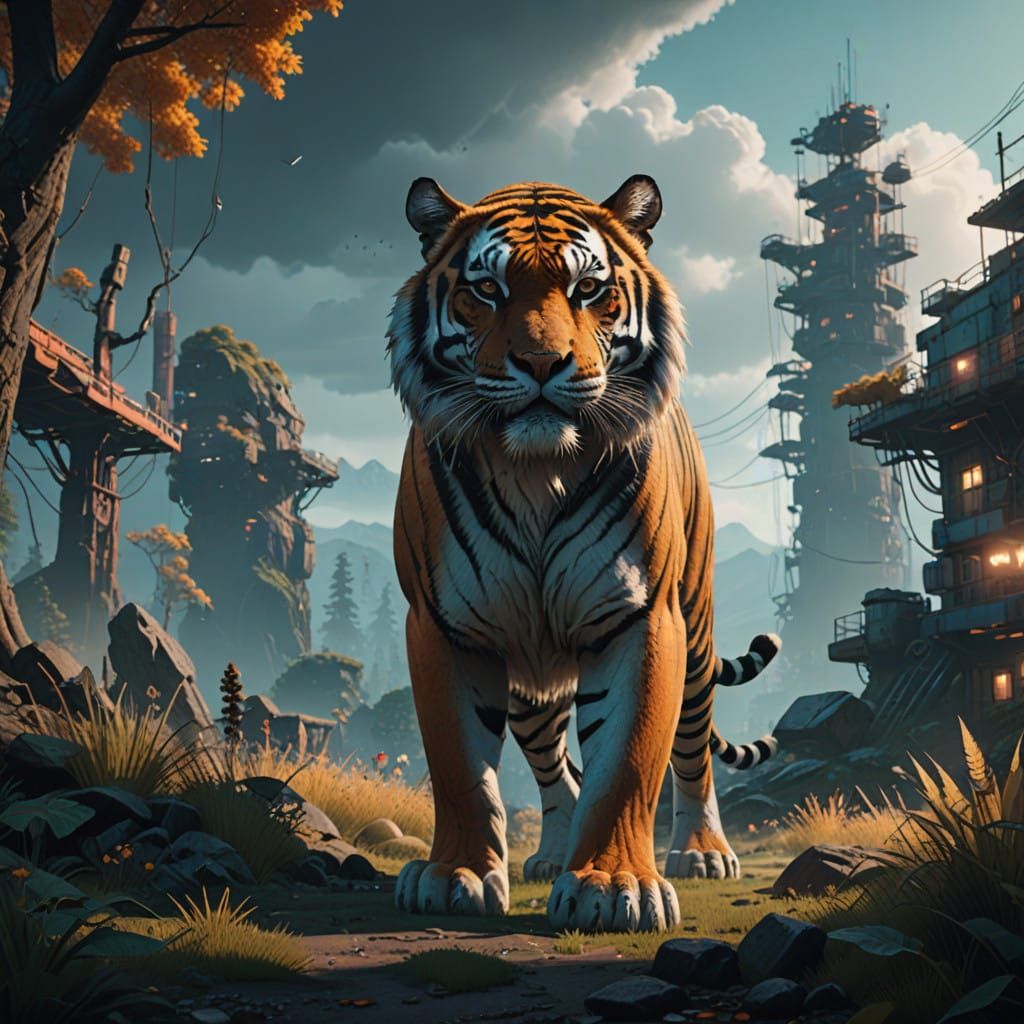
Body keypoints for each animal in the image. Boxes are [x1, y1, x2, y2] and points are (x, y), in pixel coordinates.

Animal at [388, 175, 780, 933]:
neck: (538, 469)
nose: (542, 363)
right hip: (529, 670)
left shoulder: (643, 617)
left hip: (695, 630)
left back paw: (701, 852)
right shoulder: (445, 624)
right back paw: (549, 855)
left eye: (589, 289)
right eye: (487, 290)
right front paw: (457, 877)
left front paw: (615, 887)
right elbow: (459, 767)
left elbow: (627, 759)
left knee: (694, 752)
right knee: (555, 766)